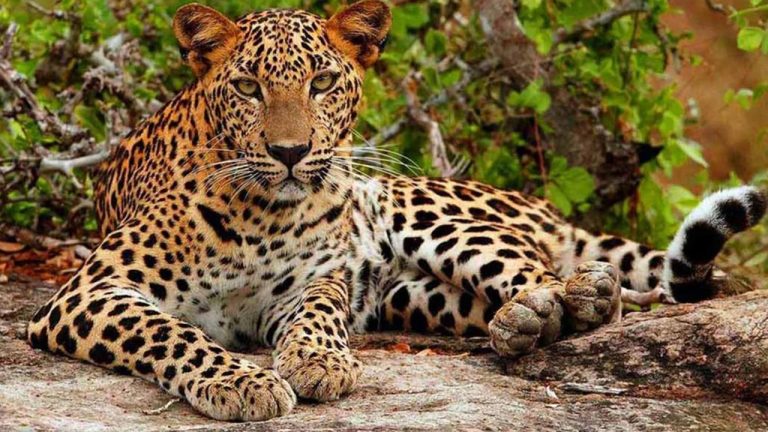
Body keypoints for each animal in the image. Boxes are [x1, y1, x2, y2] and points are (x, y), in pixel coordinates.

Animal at [26, 0, 767, 422]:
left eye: (322, 81)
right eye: (248, 87)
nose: (291, 153)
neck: (262, 214)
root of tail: (540, 205)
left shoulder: (308, 282)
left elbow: (319, 310)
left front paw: (317, 362)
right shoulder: (87, 292)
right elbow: (170, 332)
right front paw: (240, 380)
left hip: (415, 206)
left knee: (551, 272)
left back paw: (565, 299)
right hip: (412, 296)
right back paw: (522, 323)